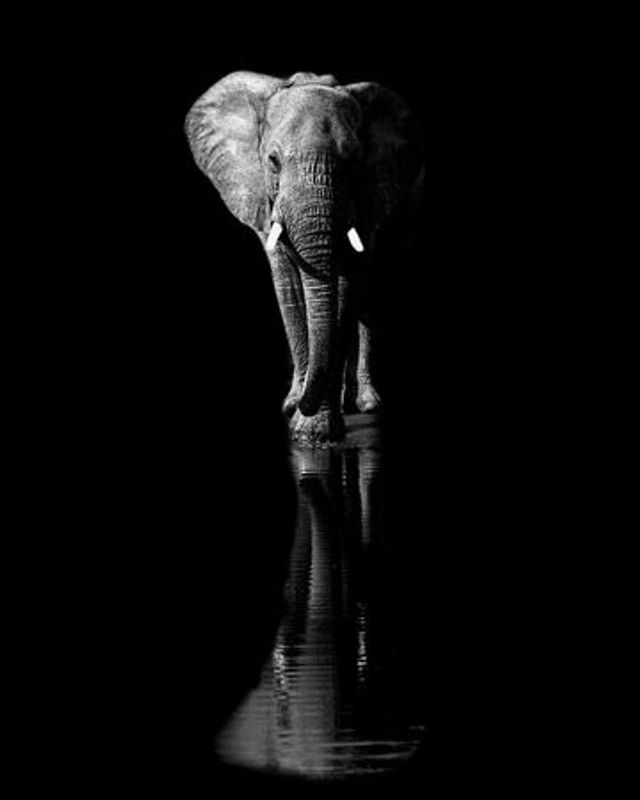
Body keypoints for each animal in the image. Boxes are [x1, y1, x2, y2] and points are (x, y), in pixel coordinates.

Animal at [185, 71, 423, 444]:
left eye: (354, 162)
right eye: (273, 161)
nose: (296, 405)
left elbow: (344, 290)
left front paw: (314, 431)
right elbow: (290, 289)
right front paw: (297, 413)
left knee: (371, 297)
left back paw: (365, 403)